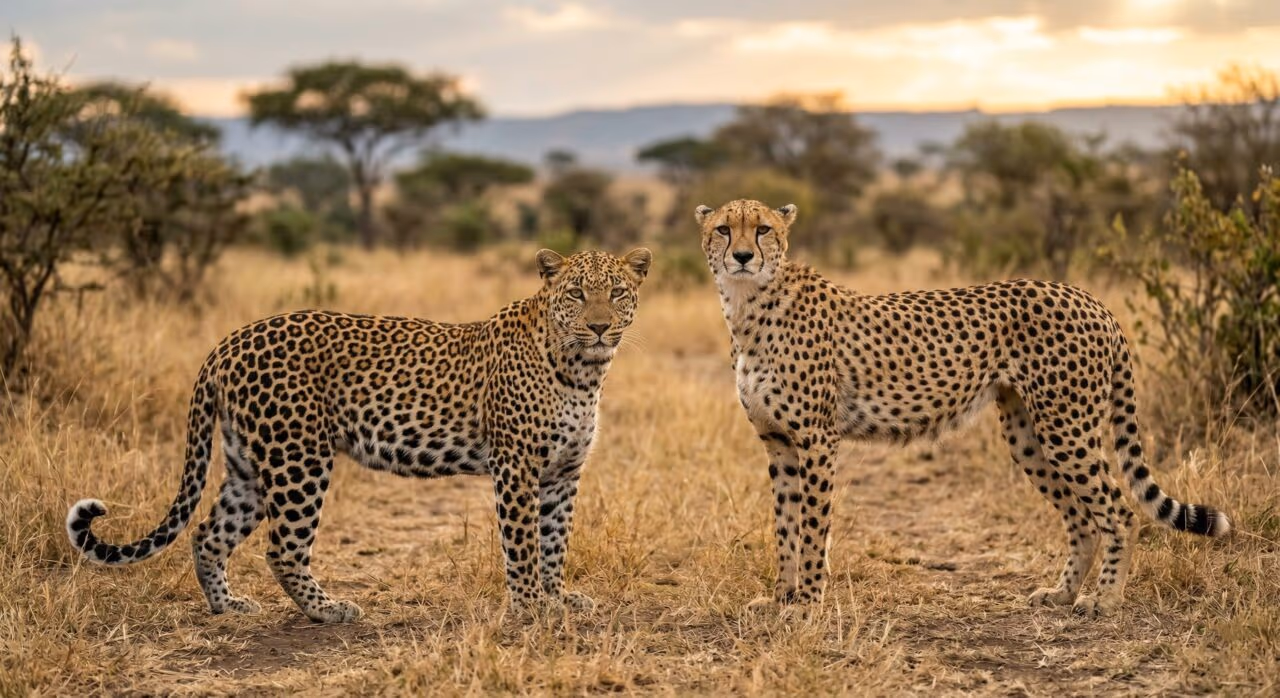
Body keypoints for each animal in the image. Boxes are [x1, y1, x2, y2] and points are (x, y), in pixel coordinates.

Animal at [67, 247, 652, 623]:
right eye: (576, 294)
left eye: (616, 292)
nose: (599, 327)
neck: (583, 371)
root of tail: (228, 342)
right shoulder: (516, 467)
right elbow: (524, 543)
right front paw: (531, 607)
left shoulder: (563, 472)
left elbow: (555, 540)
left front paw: (558, 599)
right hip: (298, 457)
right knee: (283, 546)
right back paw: (328, 610)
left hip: (249, 465)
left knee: (209, 533)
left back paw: (227, 607)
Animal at [695, 199, 1230, 619]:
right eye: (723, 228)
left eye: (763, 229)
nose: (742, 256)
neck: (748, 306)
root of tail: (1088, 297)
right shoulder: (779, 442)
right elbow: (785, 524)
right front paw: (781, 598)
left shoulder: (816, 440)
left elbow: (811, 527)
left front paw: (807, 603)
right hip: (1030, 435)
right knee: (1081, 517)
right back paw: (1061, 593)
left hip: (1067, 428)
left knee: (1120, 510)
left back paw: (1105, 600)